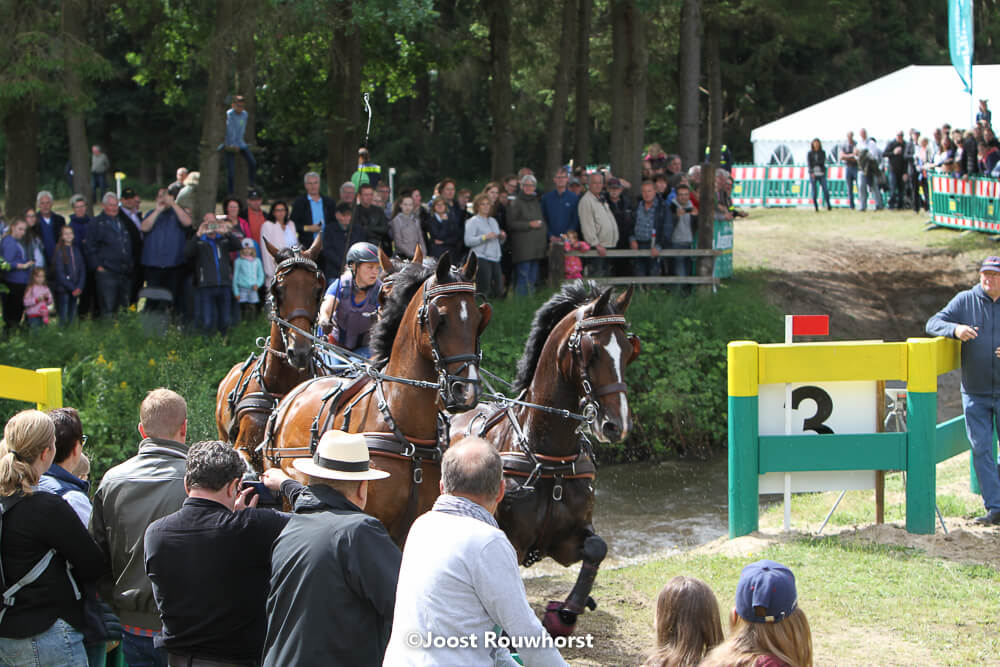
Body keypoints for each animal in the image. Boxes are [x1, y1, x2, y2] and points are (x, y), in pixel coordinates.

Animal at [454, 282, 640, 636]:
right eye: (592, 350)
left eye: (629, 350)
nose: (617, 425)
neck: (549, 458)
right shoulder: (511, 541)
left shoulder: (567, 540)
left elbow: (598, 548)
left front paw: (568, 611)